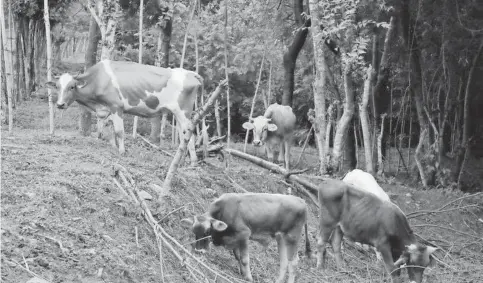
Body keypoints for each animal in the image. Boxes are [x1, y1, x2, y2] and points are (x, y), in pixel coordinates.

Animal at [46, 60, 201, 163]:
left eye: (72, 86)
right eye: (57, 87)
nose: (60, 104)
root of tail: (191, 73)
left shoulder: (116, 106)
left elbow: (119, 131)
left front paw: (122, 151)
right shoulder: (106, 110)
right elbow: (107, 130)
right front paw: (113, 147)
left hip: (183, 112)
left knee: (190, 135)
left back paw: (192, 162)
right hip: (178, 114)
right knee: (183, 135)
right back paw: (182, 160)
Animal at [181, 193, 310, 283]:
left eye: (208, 230)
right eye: (194, 231)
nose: (199, 251)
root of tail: (302, 201)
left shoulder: (244, 234)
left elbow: (244, 259)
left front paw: (248, 277)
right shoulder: (236, 240)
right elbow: (237, 256)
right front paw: (242, 273)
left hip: (292, 237)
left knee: (293, 263)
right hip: (281, 238)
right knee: (284, 262)